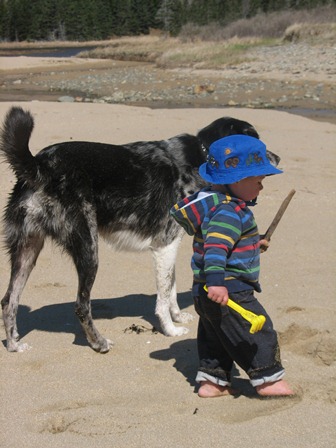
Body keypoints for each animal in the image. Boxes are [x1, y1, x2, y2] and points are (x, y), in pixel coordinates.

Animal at [0, 107, 280, 352]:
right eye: (256, 147)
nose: (278, 159)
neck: (201, 158)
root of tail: (40, 165)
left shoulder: (169, 247)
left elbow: (171, 288)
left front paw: (178, 318)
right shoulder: (165, 245)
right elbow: (163, 296)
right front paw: (170, 330)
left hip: (27, 249)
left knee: (9, 300)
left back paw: (14, 344)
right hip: (89, 249)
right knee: (81, 304)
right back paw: (98, 343)